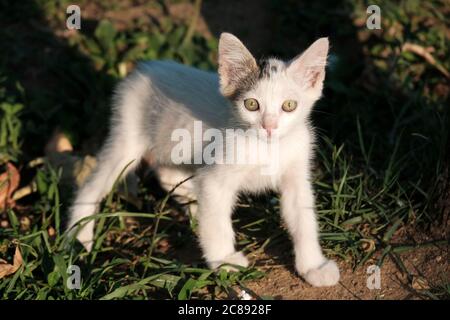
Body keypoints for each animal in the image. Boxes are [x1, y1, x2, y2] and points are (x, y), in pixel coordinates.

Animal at [67, 33, 342, 288]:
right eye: (251, 104)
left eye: (289, 105)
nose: (269, 127)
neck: (267, 148)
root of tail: (144, 68)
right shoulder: (215, 178)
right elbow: (217, 222)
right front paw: (224, 260)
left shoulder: (296, 175)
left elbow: (303, 218)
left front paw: (313, 266)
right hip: (128, 136)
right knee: (92, 184)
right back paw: (78, 237)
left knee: (170, 175)